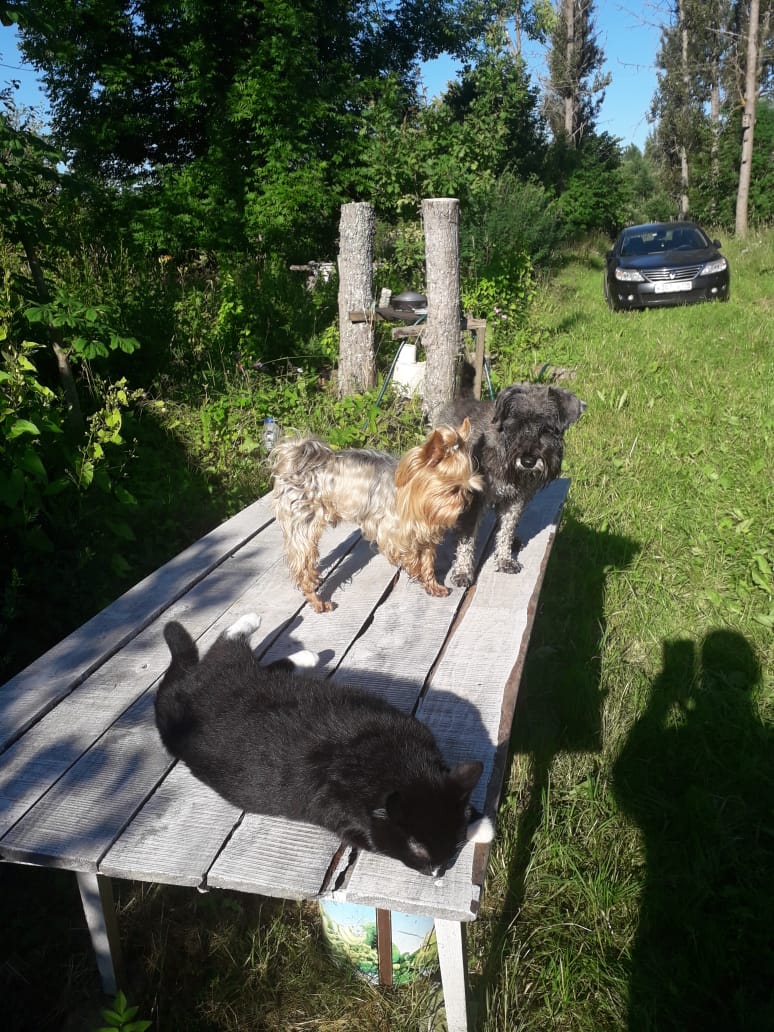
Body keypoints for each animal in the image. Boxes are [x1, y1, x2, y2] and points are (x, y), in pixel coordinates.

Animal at [154, 613, 493, 878]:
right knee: (226, 645)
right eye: (417, 850)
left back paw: (306, 657)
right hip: (222, 674)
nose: (437, 872)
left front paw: (478, 822)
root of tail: (180, 691)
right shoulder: (351, 825)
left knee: (262, 665)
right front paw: (482, 826)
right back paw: (250, 622)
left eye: (453, 847)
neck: (384, 760)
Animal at [271, 420, 483, 612]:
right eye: (452, 490)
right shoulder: (394, 533)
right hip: (304, 524)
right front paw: (416, 573)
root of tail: (297, 457)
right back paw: (317, 601)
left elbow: (427, 561)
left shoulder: (426, 532)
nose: (466, 506)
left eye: (467, 488)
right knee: (302, 565)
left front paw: (432, 585)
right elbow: (410, 557)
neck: (417, 498)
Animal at [438, 361, 585, 586]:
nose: (528, 461)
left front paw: (505, 559)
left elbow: (506, 529)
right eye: (516, 424)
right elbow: (467, 540)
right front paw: (462, 571)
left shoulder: (516, 500)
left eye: (547, 429)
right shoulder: (475, 500)